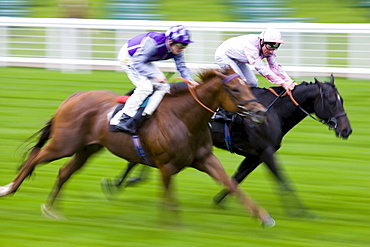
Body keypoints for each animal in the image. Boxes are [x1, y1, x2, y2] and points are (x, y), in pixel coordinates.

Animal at [0, 68, 278, 227]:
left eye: (248, 87)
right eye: (234, 89)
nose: (260, 112)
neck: (184, 118)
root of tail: (73, 97)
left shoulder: (205, 159)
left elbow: (232, 185)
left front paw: (264, 217)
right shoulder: (166, 165)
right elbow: (170, 198)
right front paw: (172, 227)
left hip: (87, 149)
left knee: (63, 172)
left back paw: (52, 210)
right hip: (64, 143)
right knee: (35, 157)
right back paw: (8, 189)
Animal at [102, 75, 352, 216]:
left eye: (342, 100)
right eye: (332, 101)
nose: (347, 130)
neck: (273, 112)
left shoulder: (256, 155)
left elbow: (236, 178)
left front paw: (220, 200)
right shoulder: (266, 152)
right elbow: (283, 181)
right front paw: (302, 211)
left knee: (138, 157)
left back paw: (124, 181)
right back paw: (120, 182)